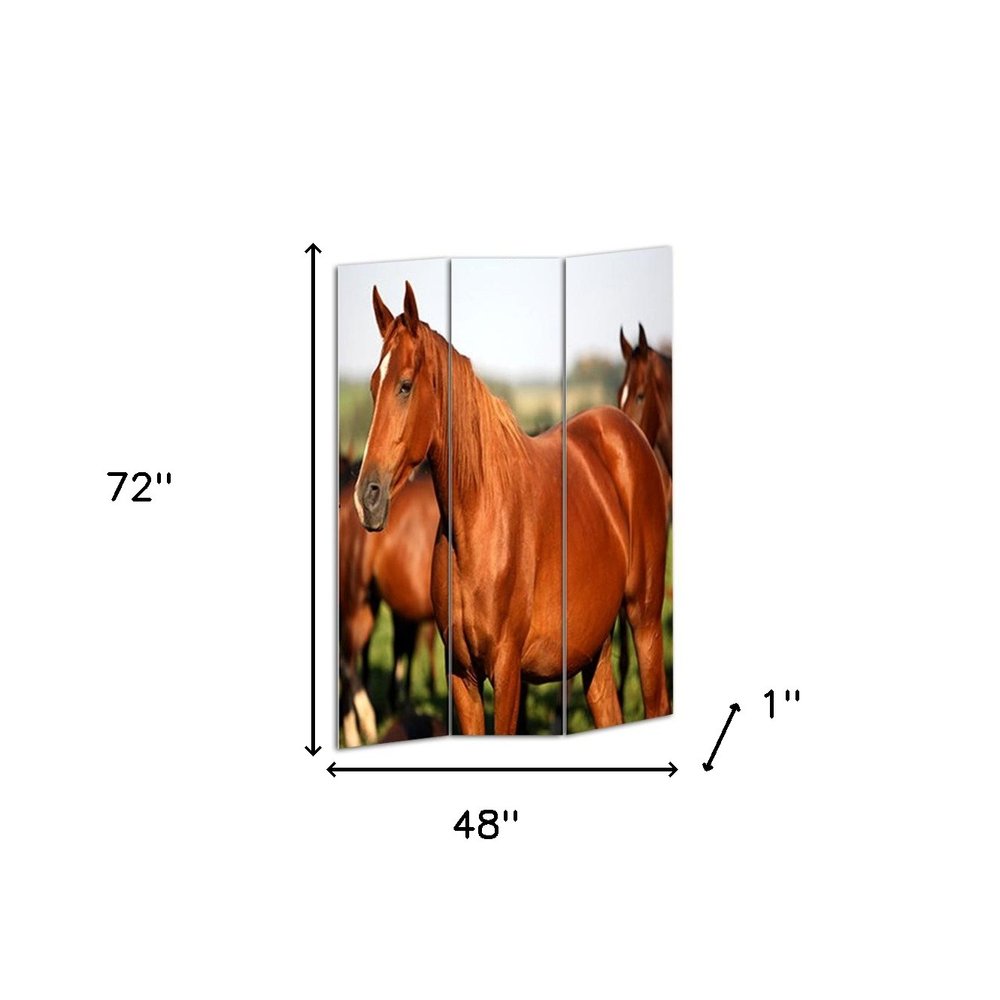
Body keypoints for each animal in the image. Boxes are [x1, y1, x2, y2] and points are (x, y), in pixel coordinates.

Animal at [354, 281, 670, 734]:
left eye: (405, 385)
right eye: (371, 386)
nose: (367, 498)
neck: (478, 522)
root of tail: (628, 433)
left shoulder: (506, 673)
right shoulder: (463, 677)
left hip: (644, 622)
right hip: (594, 649)